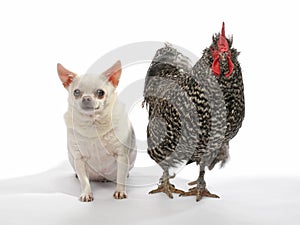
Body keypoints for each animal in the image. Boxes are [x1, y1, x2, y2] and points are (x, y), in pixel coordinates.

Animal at [56, 60, 137, 201]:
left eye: (100, 93)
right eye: (76, 92)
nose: (86, 98)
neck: (93, 123)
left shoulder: (121, 155)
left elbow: (120, 177)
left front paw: (120, 191)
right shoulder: (79, 159)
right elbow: (84, 180)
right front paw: (86, 194)